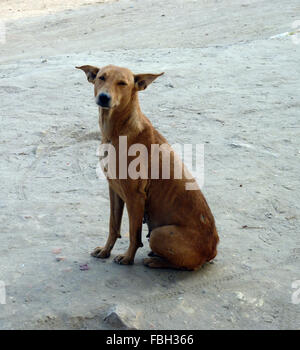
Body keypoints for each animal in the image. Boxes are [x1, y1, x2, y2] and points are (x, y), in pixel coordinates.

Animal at [76, 64, 219, 270]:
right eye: (101, 77)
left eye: (122, 83)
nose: (103, 97)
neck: (116, 132)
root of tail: (213, 250)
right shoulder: (114, 190)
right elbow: (113, 225)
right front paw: (105, 250)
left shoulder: (135, 197)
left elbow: (133, 234)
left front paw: (128, 258)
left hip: (159, 234)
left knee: (187, 265)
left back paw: (155, 260)